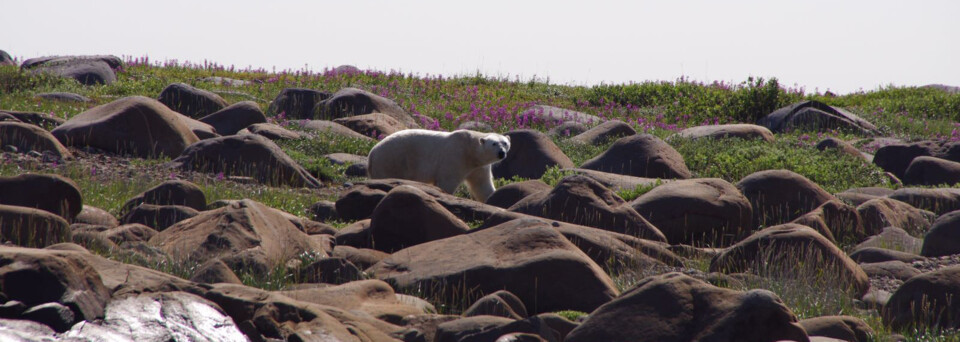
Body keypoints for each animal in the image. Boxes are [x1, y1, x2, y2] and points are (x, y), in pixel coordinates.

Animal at [368, 130, 512, 202]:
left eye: (505, 143)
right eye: (494, 144)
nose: (501, 153)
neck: (470, 150)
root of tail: (371, 153)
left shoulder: (478, 167)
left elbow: (482, 185)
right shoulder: (455, 157)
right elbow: (447, 181)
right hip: (391, 161)